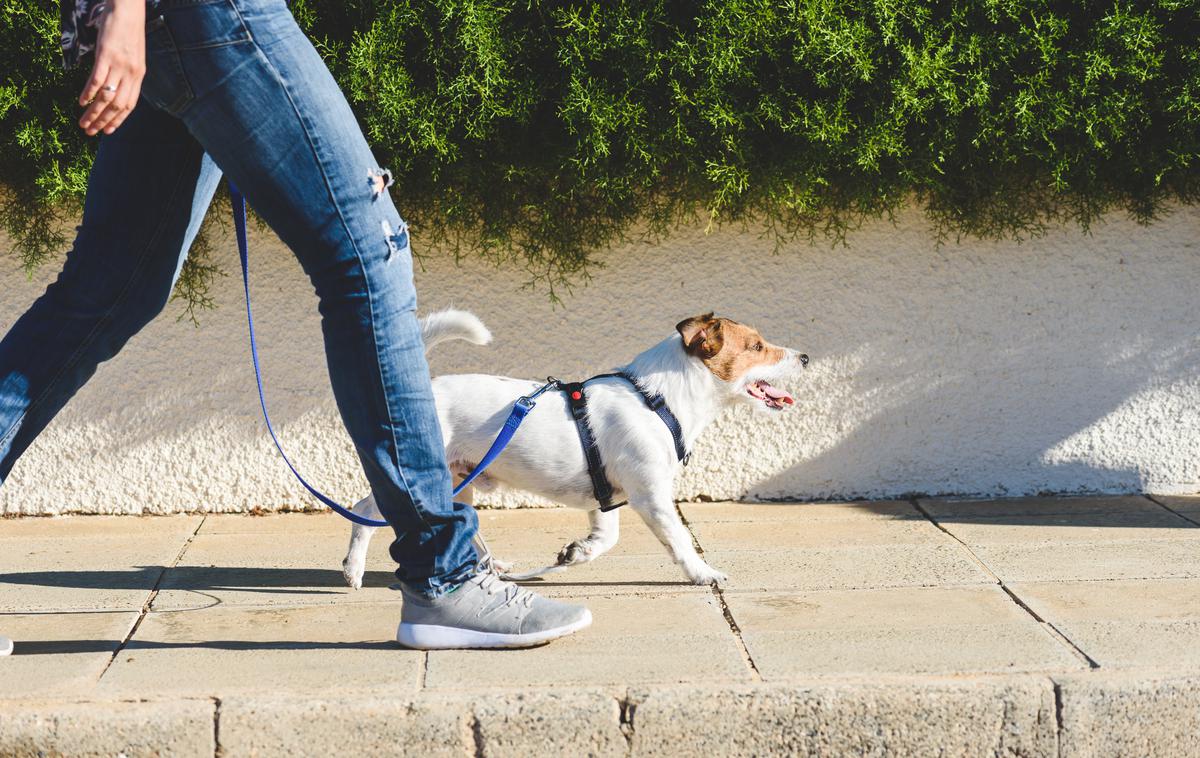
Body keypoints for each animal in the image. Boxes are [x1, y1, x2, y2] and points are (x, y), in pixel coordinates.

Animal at [338, 307, 806, 585]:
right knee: (364, 511)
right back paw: (354, 569)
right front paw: (703, 573)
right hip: (421, 477)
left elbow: (605, 538)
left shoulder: (607, 497)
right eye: (757, 346)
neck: (658, 399)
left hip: (458, 481)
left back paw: (494, 567)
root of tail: (424, 391)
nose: (804, 358)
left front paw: (576, 553)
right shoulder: (651, 496)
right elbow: (679, 541)